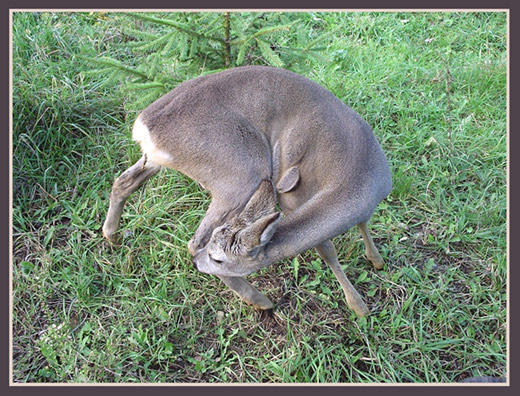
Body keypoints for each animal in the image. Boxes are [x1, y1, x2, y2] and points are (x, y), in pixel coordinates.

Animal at [101, 65, 392, 318]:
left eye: (218, 258)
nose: (199, 265)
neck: (355, 174)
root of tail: (144, 127)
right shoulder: (290, 198)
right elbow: (326, 248)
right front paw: (359, 307)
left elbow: (363, 223)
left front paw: (376, 260)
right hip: (241, 172)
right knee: (194, 242)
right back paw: (261, 301)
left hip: (160, 162)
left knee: (123, 182)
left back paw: (112, 236)